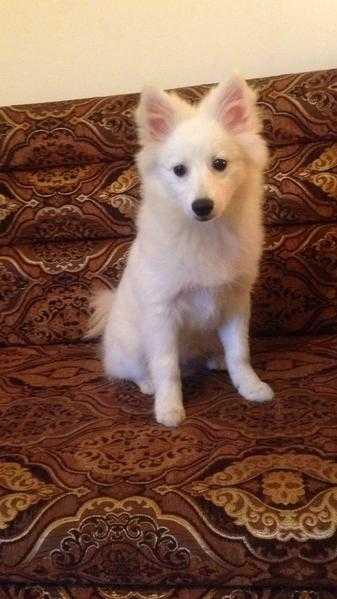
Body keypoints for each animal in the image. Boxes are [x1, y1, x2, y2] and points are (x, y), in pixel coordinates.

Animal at [87, 76, 272, 426]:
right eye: (179, 170)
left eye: (219, 164)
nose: (202, 206)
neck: (205, 233)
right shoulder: (162, 312)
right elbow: (166, 366)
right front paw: (169, 409)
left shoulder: (235, 302)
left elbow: (240, 353)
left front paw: (250, 387)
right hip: (132, 344)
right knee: (131, 370)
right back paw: (147, 384)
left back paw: (215, 360)